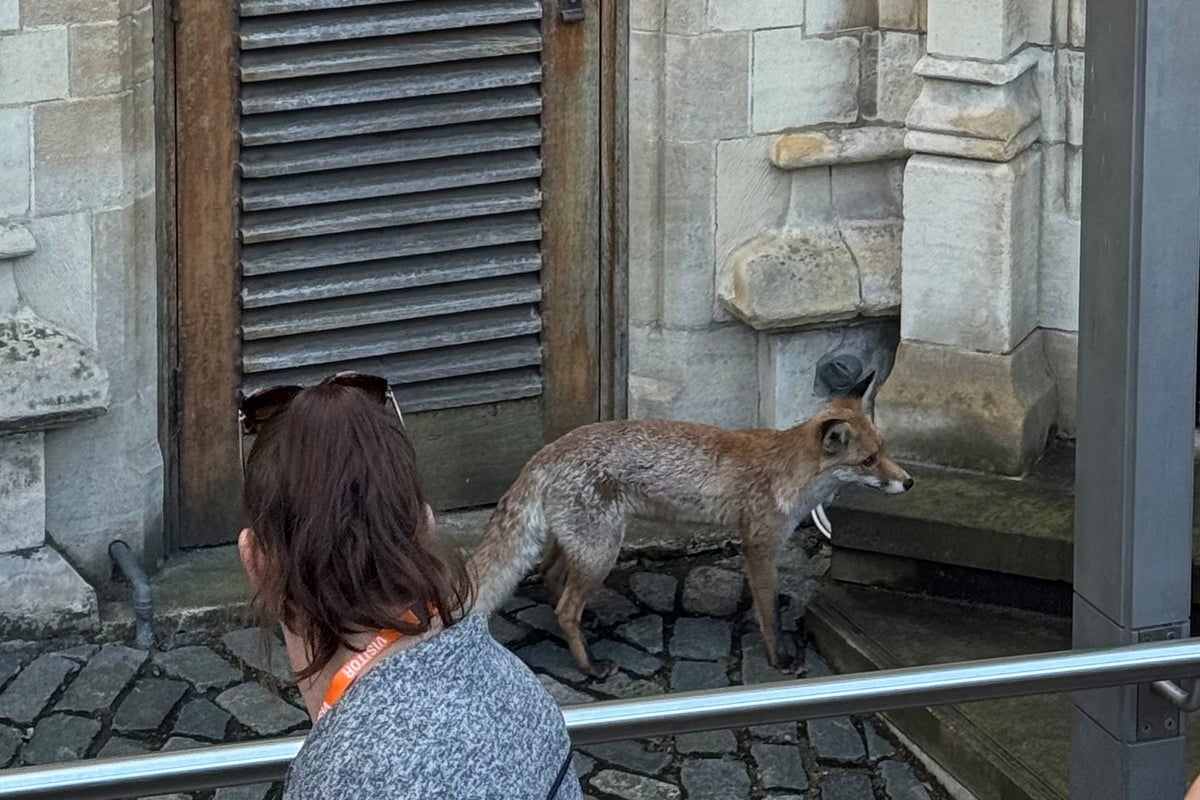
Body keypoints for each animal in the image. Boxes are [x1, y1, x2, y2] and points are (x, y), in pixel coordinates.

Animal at [467, 372, 913, 677]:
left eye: (886, 450)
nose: (908, 482)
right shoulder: (759, 545)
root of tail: (543, 453)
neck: (786, 472)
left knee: (549, 575)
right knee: (564, 608)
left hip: (584, 546)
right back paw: (590, 667)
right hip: (602, 552)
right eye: (868, 461)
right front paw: (779, 657)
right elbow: (769, 611)